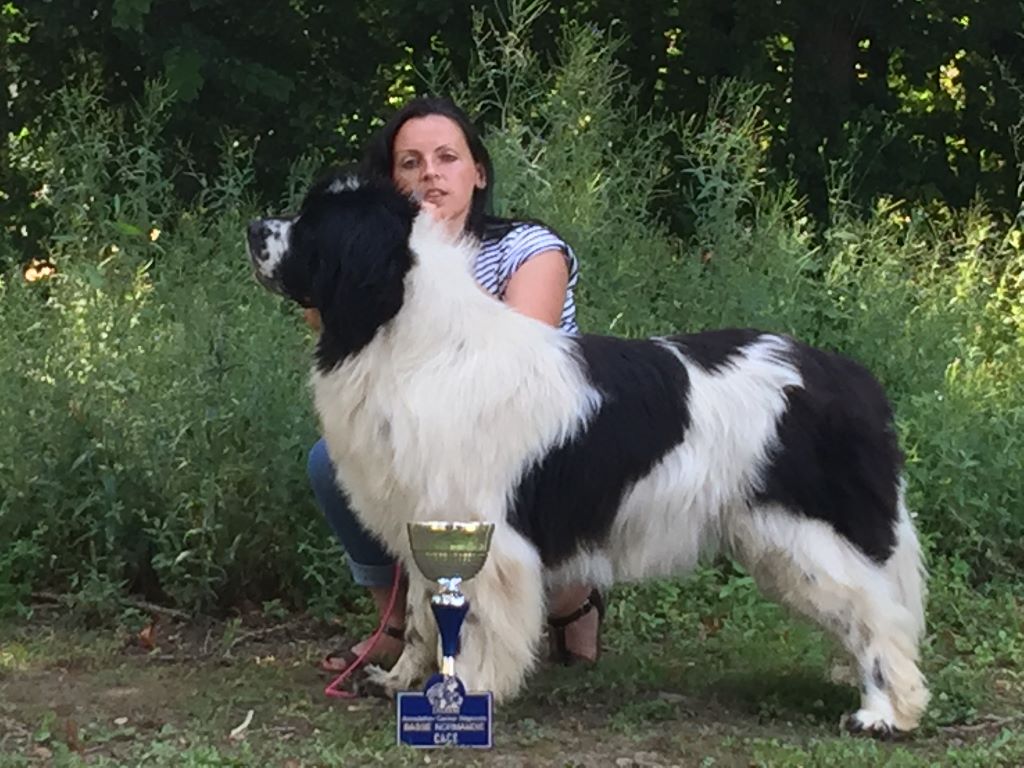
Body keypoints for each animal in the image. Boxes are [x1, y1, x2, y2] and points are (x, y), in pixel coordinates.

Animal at [245, 169, 929, 741]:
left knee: (879, 614)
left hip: (805, 533)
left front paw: (467, 693)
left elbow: (476, 622)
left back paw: (884, 713)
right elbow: (420, 615)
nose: (253, 228)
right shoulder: (422, 518)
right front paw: (400, 681)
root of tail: (849, 377)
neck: (414, 343)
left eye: (314, 223)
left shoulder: (484, 533)